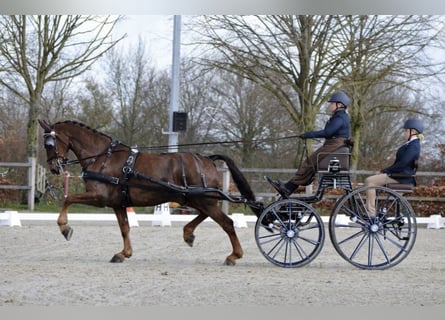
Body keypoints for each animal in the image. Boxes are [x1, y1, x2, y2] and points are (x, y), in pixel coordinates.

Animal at [38, 120, 262, 264]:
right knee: (207, 216)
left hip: (202, 199)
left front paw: (65, 228)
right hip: (193, 198)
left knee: (227, 223)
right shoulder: (117, 203)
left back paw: (234, 255)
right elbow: (125, 228)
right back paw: (188, 234)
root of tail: (207, 159)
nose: (54, 168)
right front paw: (124, 254)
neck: (103, 157)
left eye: (49, 143)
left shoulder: (99, 198)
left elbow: (68, 199)